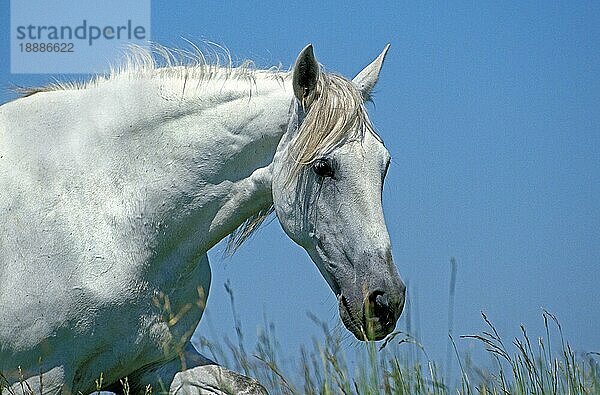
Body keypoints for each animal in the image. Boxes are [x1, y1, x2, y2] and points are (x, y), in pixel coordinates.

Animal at [0, 44, 408, 394]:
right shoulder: (37, 378)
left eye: (384, 165)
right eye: (323, 166)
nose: (385, 302)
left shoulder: (157, 366)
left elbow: (249, 386)